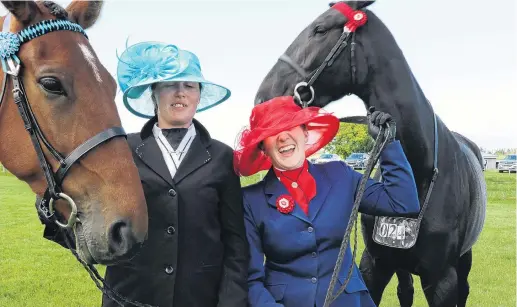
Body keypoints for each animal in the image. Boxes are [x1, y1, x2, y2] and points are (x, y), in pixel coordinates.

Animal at [252, 1, 486, 306]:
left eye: (320, 29)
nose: (263, 98)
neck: (421, 171)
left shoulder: (441, 280)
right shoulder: (373, 267)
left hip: (463, 261)